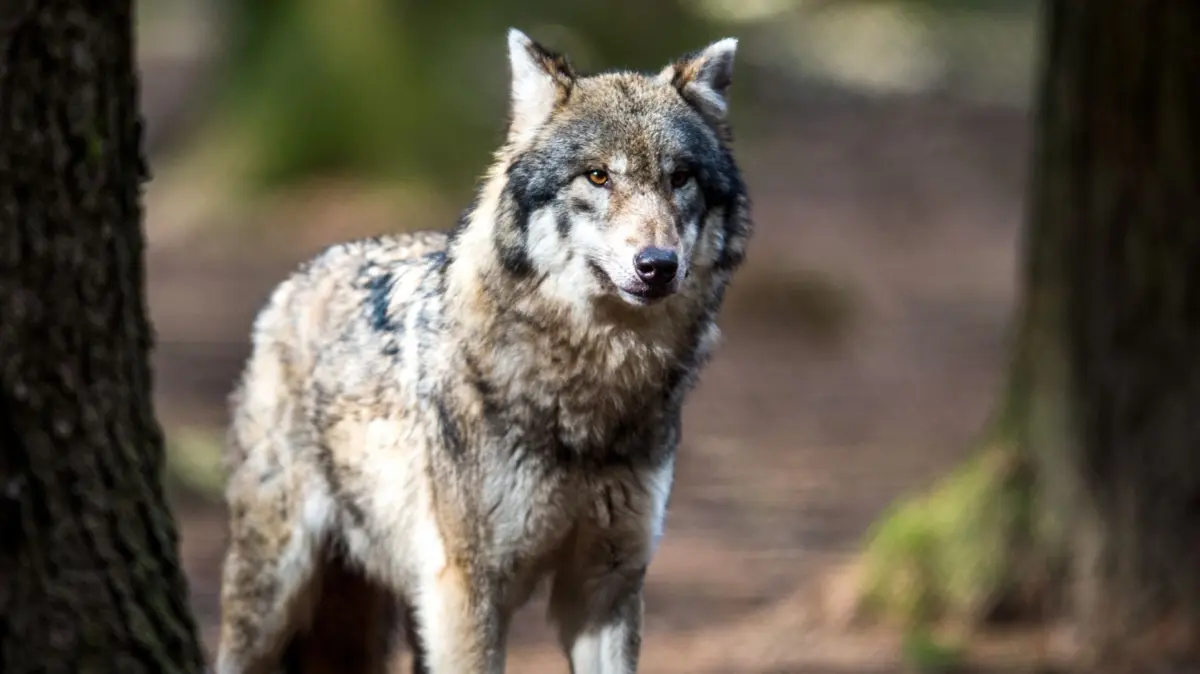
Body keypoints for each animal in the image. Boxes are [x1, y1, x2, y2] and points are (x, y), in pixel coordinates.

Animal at [214, 27, 752, 674]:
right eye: (598, 177)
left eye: (680, 178)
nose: (657, 265)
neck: (591, 392)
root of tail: (299, 276)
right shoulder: (470, 588)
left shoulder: (607, 582)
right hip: (275, 592)